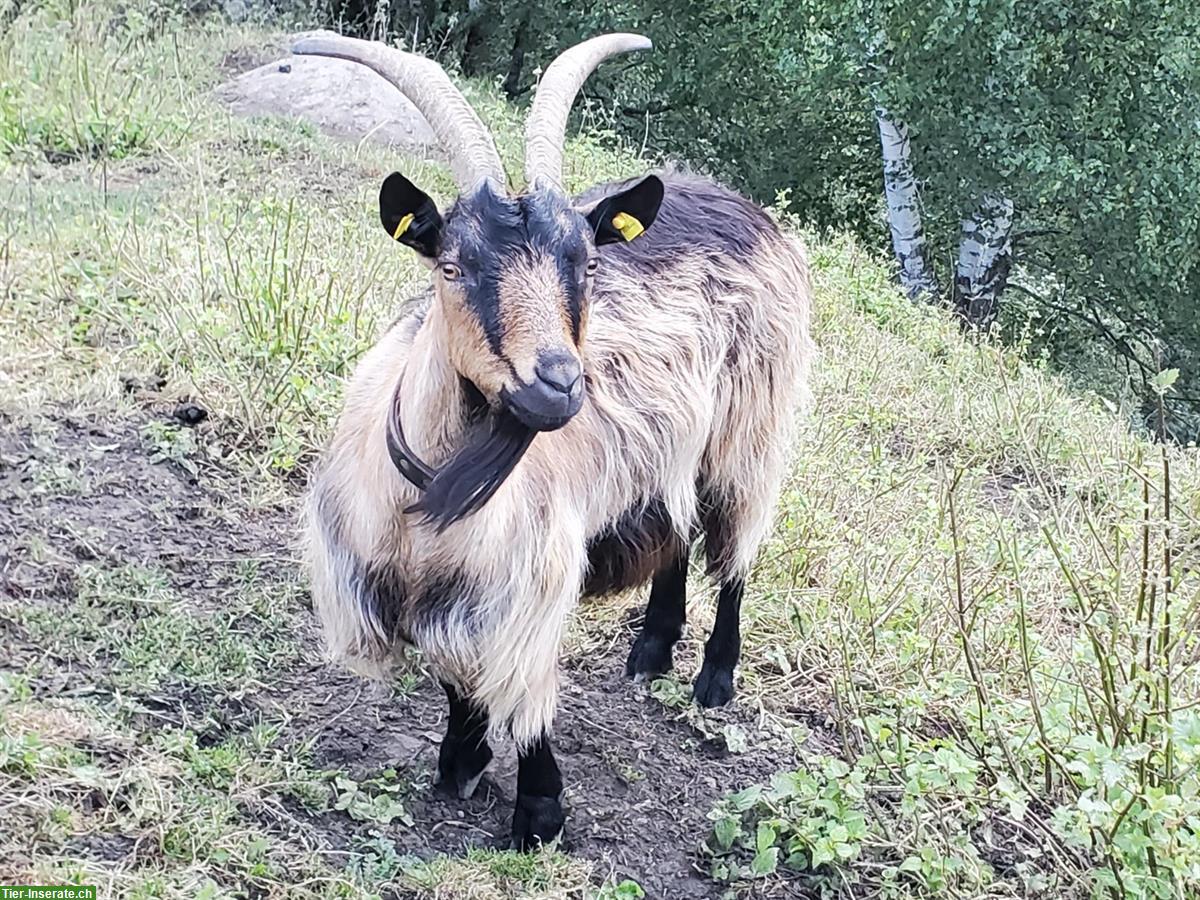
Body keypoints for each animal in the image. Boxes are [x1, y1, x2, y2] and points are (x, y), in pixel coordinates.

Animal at [297, 31, 816, 849]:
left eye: (587, 262)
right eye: (453, 265)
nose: (558, 385)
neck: (428, 504)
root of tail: (744, 205)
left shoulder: (529, 578)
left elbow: (522, 685)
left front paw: (537, 814)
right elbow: (458, 674)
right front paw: (462, 761)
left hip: (750, 424)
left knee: (736, 543)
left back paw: (713, 678)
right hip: (670, 446)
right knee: (678, 526)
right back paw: (650, 650)